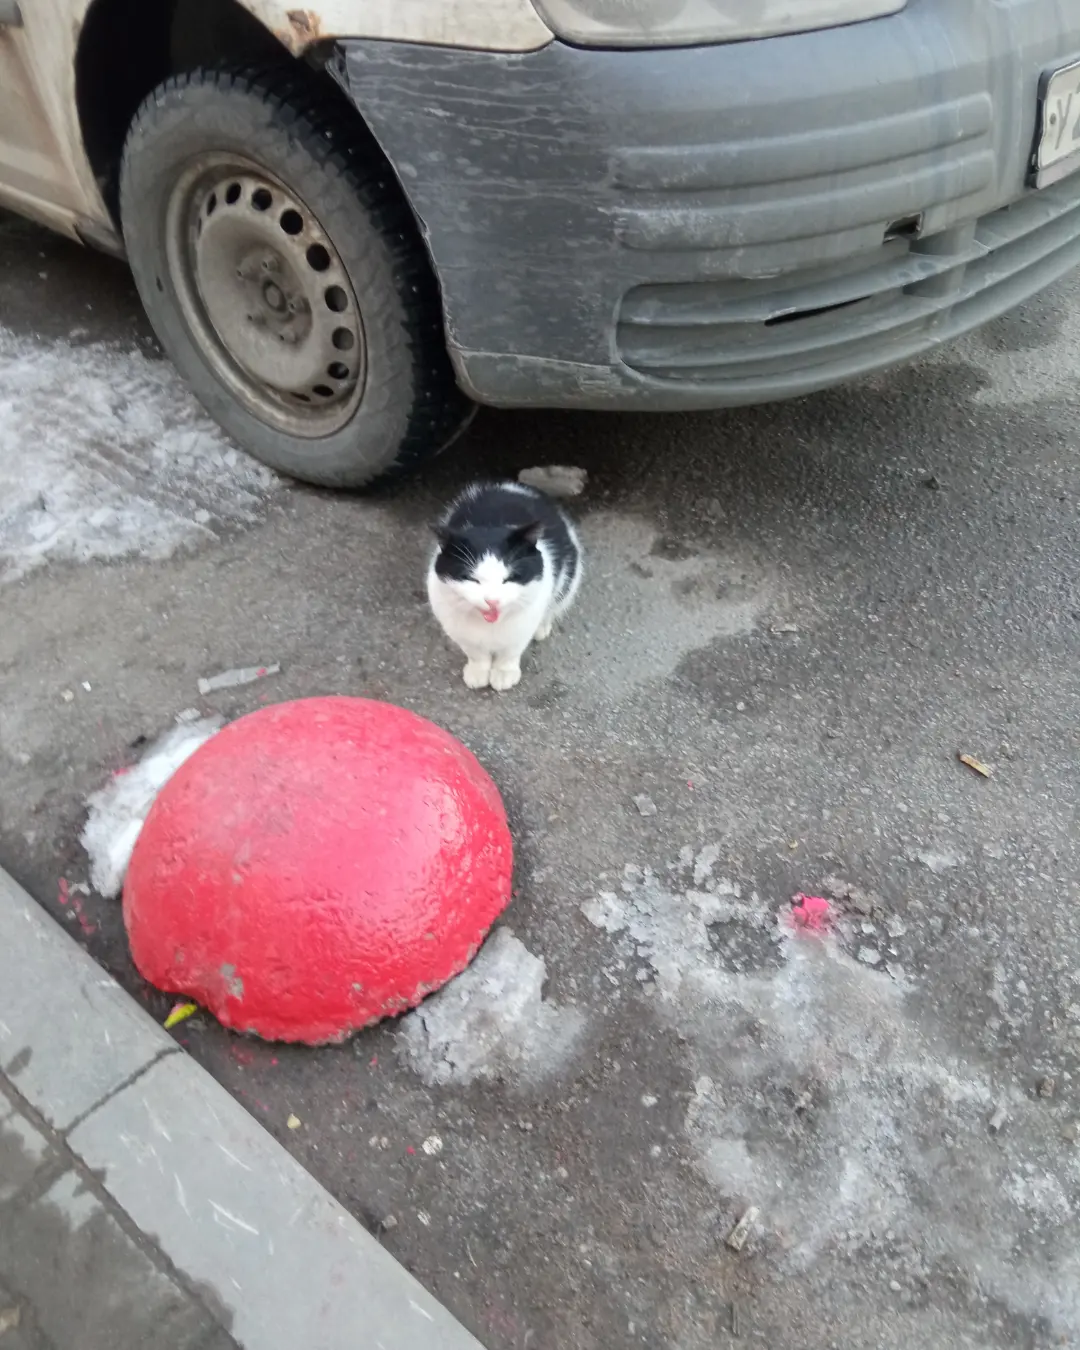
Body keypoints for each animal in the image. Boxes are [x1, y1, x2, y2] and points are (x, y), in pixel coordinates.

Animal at [429, 483, 583, 691]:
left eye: (510, 578)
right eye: (471, 578)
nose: (492, 600)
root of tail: (512, 485)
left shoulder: (521, 628)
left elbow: (510, 652)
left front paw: (504, 674)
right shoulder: (460, 632)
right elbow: (475, 653)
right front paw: (478, 672)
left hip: (569, 575)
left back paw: (542, 627)